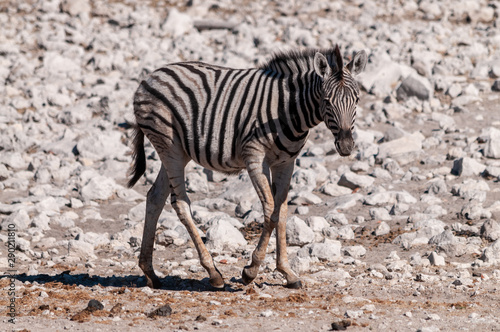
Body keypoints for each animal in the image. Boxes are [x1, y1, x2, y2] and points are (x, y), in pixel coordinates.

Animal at [128, 45, 368, 290]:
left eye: (357, 100)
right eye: (327, 101)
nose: (346, 146)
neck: (288, 108)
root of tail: (150, 77)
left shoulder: (286, 162)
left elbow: (282, 212)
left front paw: (288, 273)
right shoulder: (254, 157)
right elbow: (270, 212)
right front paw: (250, 271)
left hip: (177, 152)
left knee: (154, 197)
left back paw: (150, 273)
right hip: (170, 146)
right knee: (180, 204)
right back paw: (213, 272)